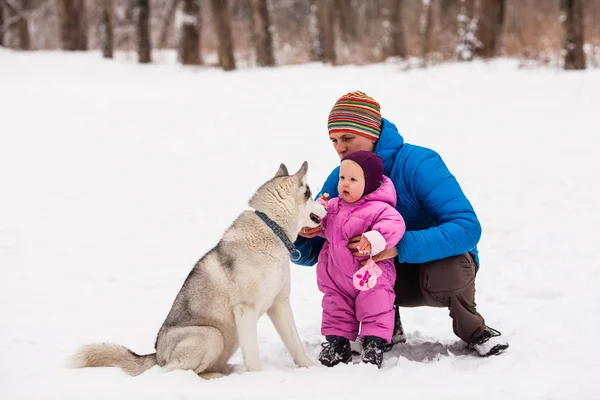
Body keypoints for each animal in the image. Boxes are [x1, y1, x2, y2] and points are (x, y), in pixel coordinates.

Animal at [70, 162, 328, 378]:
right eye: (311, 195)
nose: (326, 209)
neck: (272, 229)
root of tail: (157, 355)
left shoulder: (279, 305)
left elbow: (295, 343)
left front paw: (311, 368)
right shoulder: (245, 310)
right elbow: (253, 353)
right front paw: (257, 378)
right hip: (210, 335)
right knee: (172, 372)